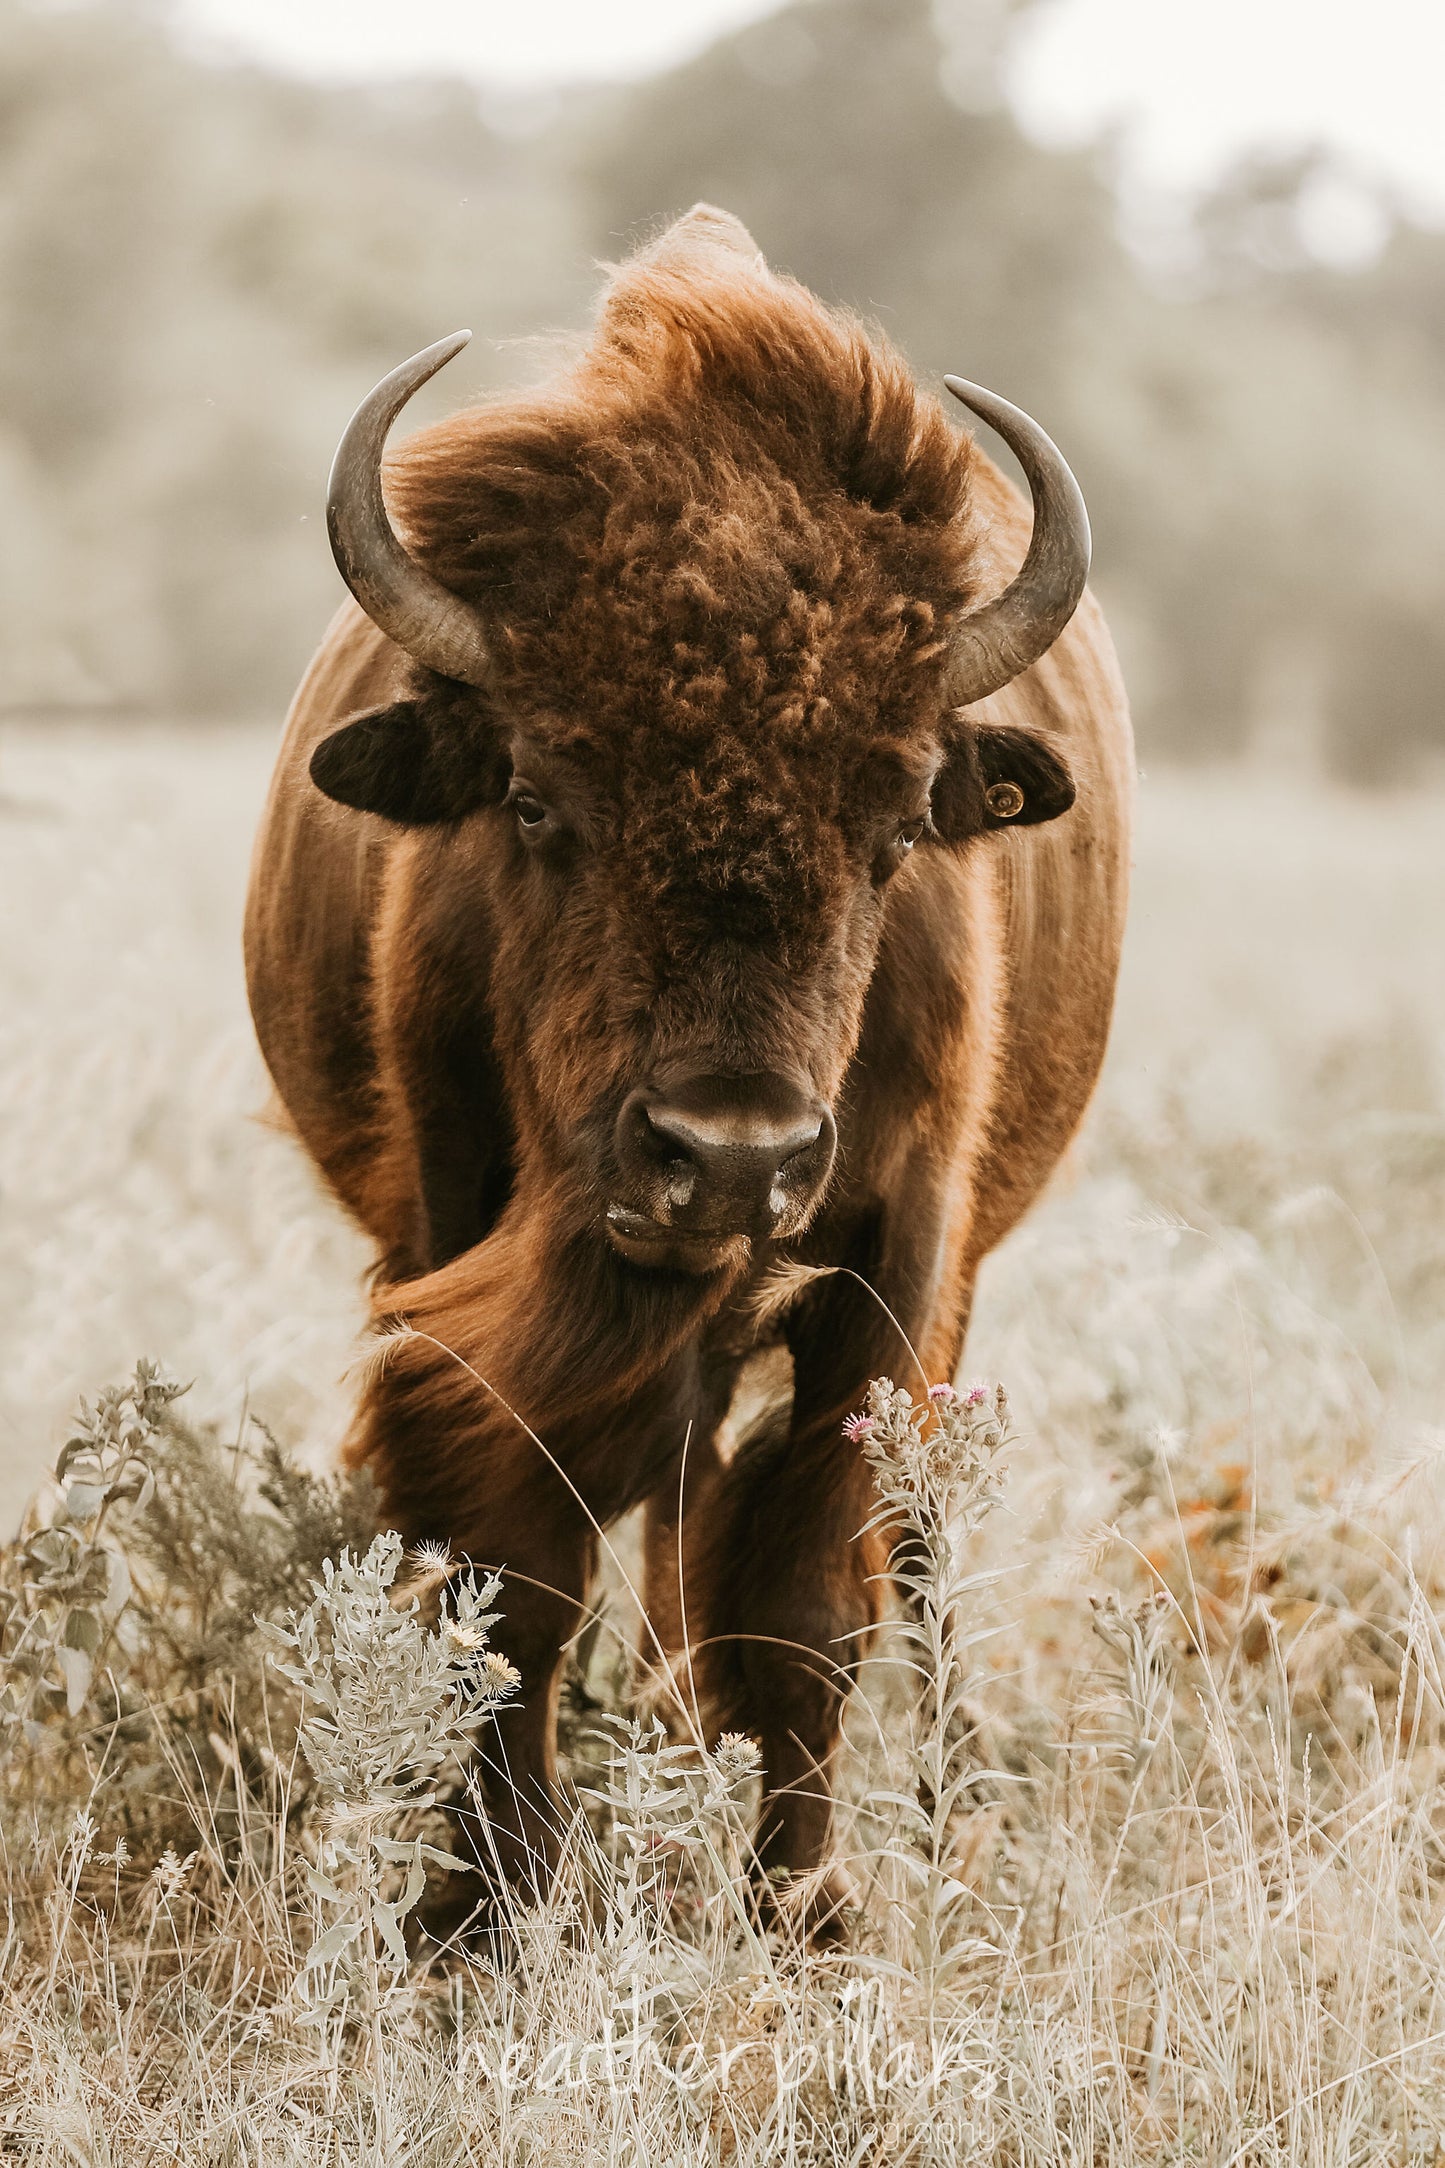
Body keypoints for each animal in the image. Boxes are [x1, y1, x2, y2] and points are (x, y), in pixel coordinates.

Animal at [242, 203, 1135, 1933]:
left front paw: (805, 1914)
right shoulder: (458, 1255)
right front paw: (483, 1909)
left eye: (896, 827)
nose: (728, 1154)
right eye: (535, 802)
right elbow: (512, 1583)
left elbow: (799, 1608)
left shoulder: (892, 1276)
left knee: (900, 1551)